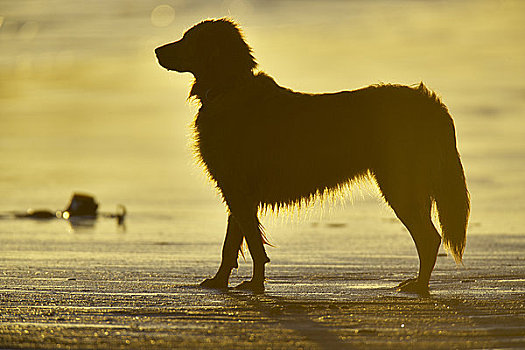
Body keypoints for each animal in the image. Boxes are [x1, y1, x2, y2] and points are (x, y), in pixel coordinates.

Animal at [154, 18, 468, 296]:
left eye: (188, 40)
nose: (156, 50)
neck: (229, 88)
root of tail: (430, 104)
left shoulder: (238, 189)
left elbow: (252, 244)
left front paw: (255, 285)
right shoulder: (236, 189)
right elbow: (232, 242)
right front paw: (221, 281)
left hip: (400, 184)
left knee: (429, 238)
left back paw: (420, 286)